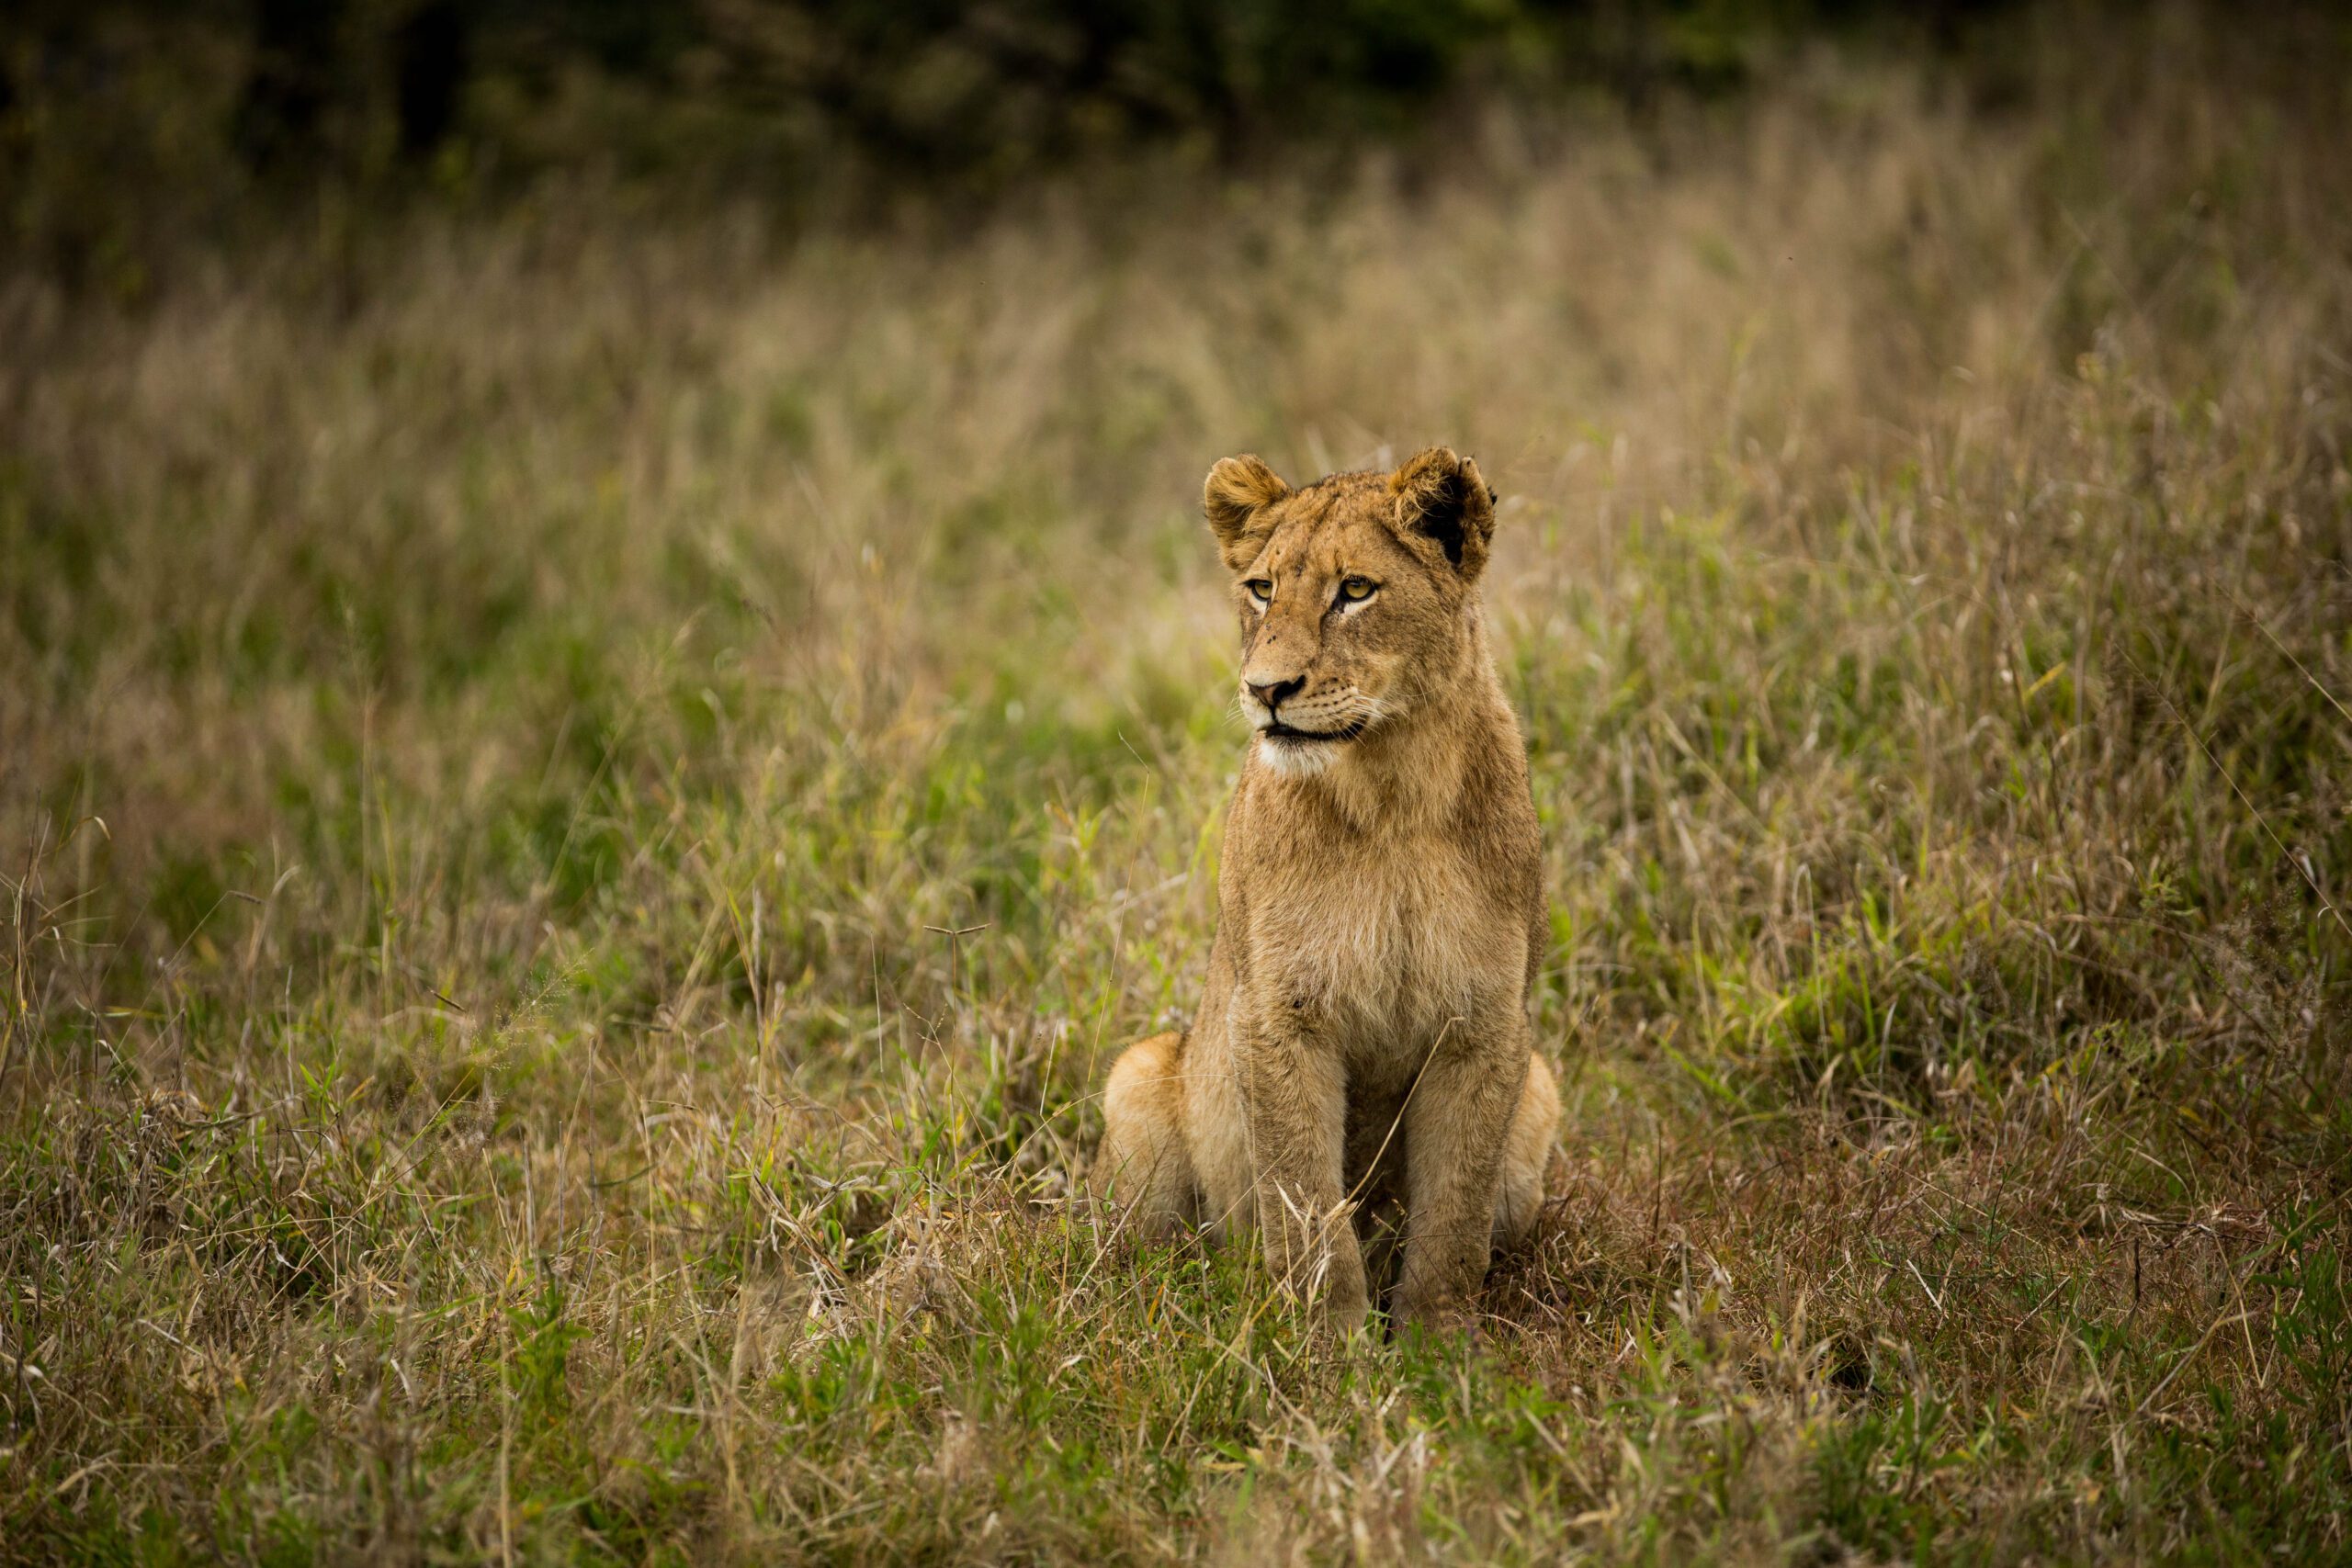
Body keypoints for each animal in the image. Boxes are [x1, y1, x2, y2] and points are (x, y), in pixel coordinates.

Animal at [1095, 444, 1561, 1335]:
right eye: (1261, 589)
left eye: (1355, 590)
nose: (1266, 689)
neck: (1391, 795)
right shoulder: (1278, 1015)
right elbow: (1305, 1195)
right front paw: (1329, 1345)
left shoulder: (1486, 1022)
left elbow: (1454, 1213)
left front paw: (1439, 1345)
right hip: (1136, 1076)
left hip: (1542, 1094)